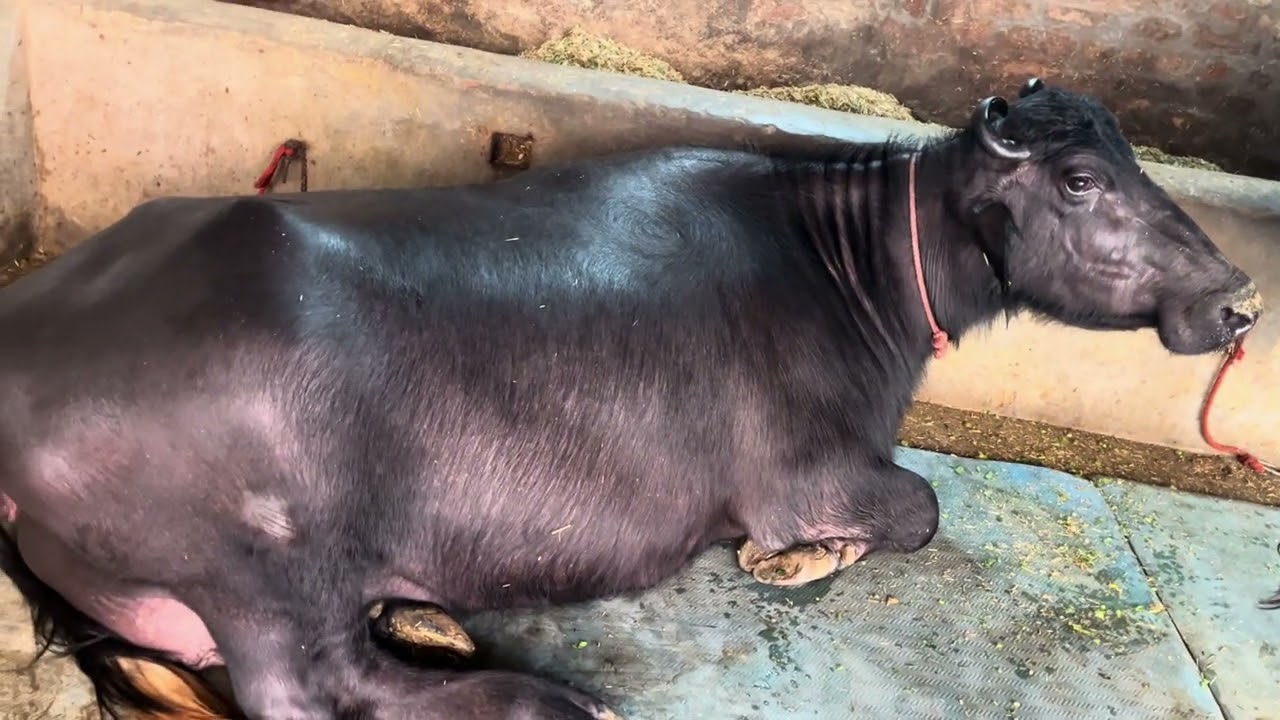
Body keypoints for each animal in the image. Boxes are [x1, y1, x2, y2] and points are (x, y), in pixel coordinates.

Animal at [0, 77, 1264, 719]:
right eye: (1081, 179)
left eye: (1126, 162)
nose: (1238, 298)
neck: (848, 266)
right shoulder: (806, 470)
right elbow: (916, 508)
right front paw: (792, 558)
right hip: (266, 561)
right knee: (304, 690)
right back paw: (551, 704)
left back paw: (423, 616)